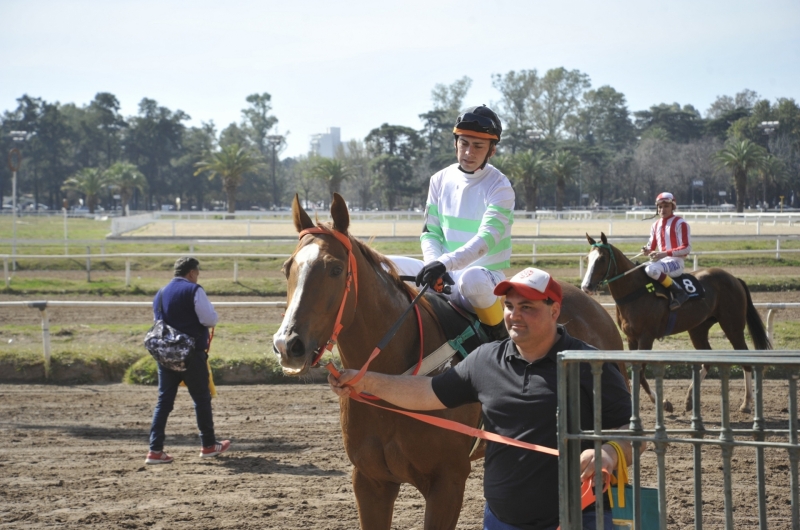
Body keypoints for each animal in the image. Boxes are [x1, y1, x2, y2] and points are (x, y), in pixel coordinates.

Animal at [580, 232, 772, 412]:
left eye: (602, 258)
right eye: (588, 258)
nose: (586, 287)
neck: (636, 290)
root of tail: (734, 278)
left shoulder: (646, 337)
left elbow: (640, 374)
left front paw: (660, 402)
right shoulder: (631, 338)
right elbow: (637, 373)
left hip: (732, 326)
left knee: (745, 359)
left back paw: (746, 403)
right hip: (698, 328)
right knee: (707, 359)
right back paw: (689, 399)